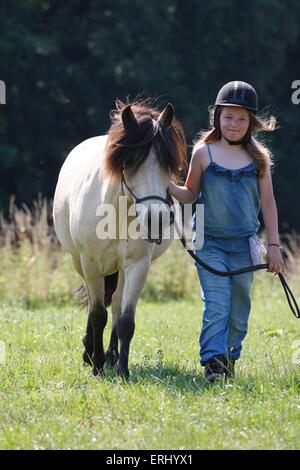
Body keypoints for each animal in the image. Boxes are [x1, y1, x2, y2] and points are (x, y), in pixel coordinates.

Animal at [52, 99, 186, 378]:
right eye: (131, 161)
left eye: (167, 163)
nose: (156, 220)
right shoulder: (90, 264)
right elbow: (97, 314)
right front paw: (96, 366)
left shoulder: (137, 265)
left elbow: (124, 318)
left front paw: (122, 369)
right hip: (79, 263)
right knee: (98, 305)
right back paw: (91, 352)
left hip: (121, 269)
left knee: (114, 304)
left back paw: (112, 356)